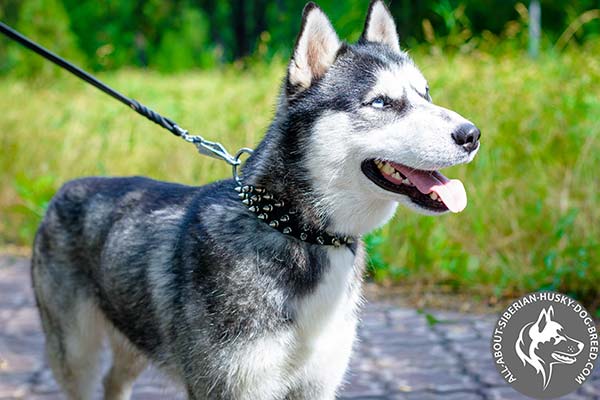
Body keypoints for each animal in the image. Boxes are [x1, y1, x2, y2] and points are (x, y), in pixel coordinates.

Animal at [32, 1, 480, 398]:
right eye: (382, 102)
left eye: (425, 94)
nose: (472, 134)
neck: (299, 232)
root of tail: (67, 187)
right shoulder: (229, 385)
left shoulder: (316, 385)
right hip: (75, 354)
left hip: (135, 341)